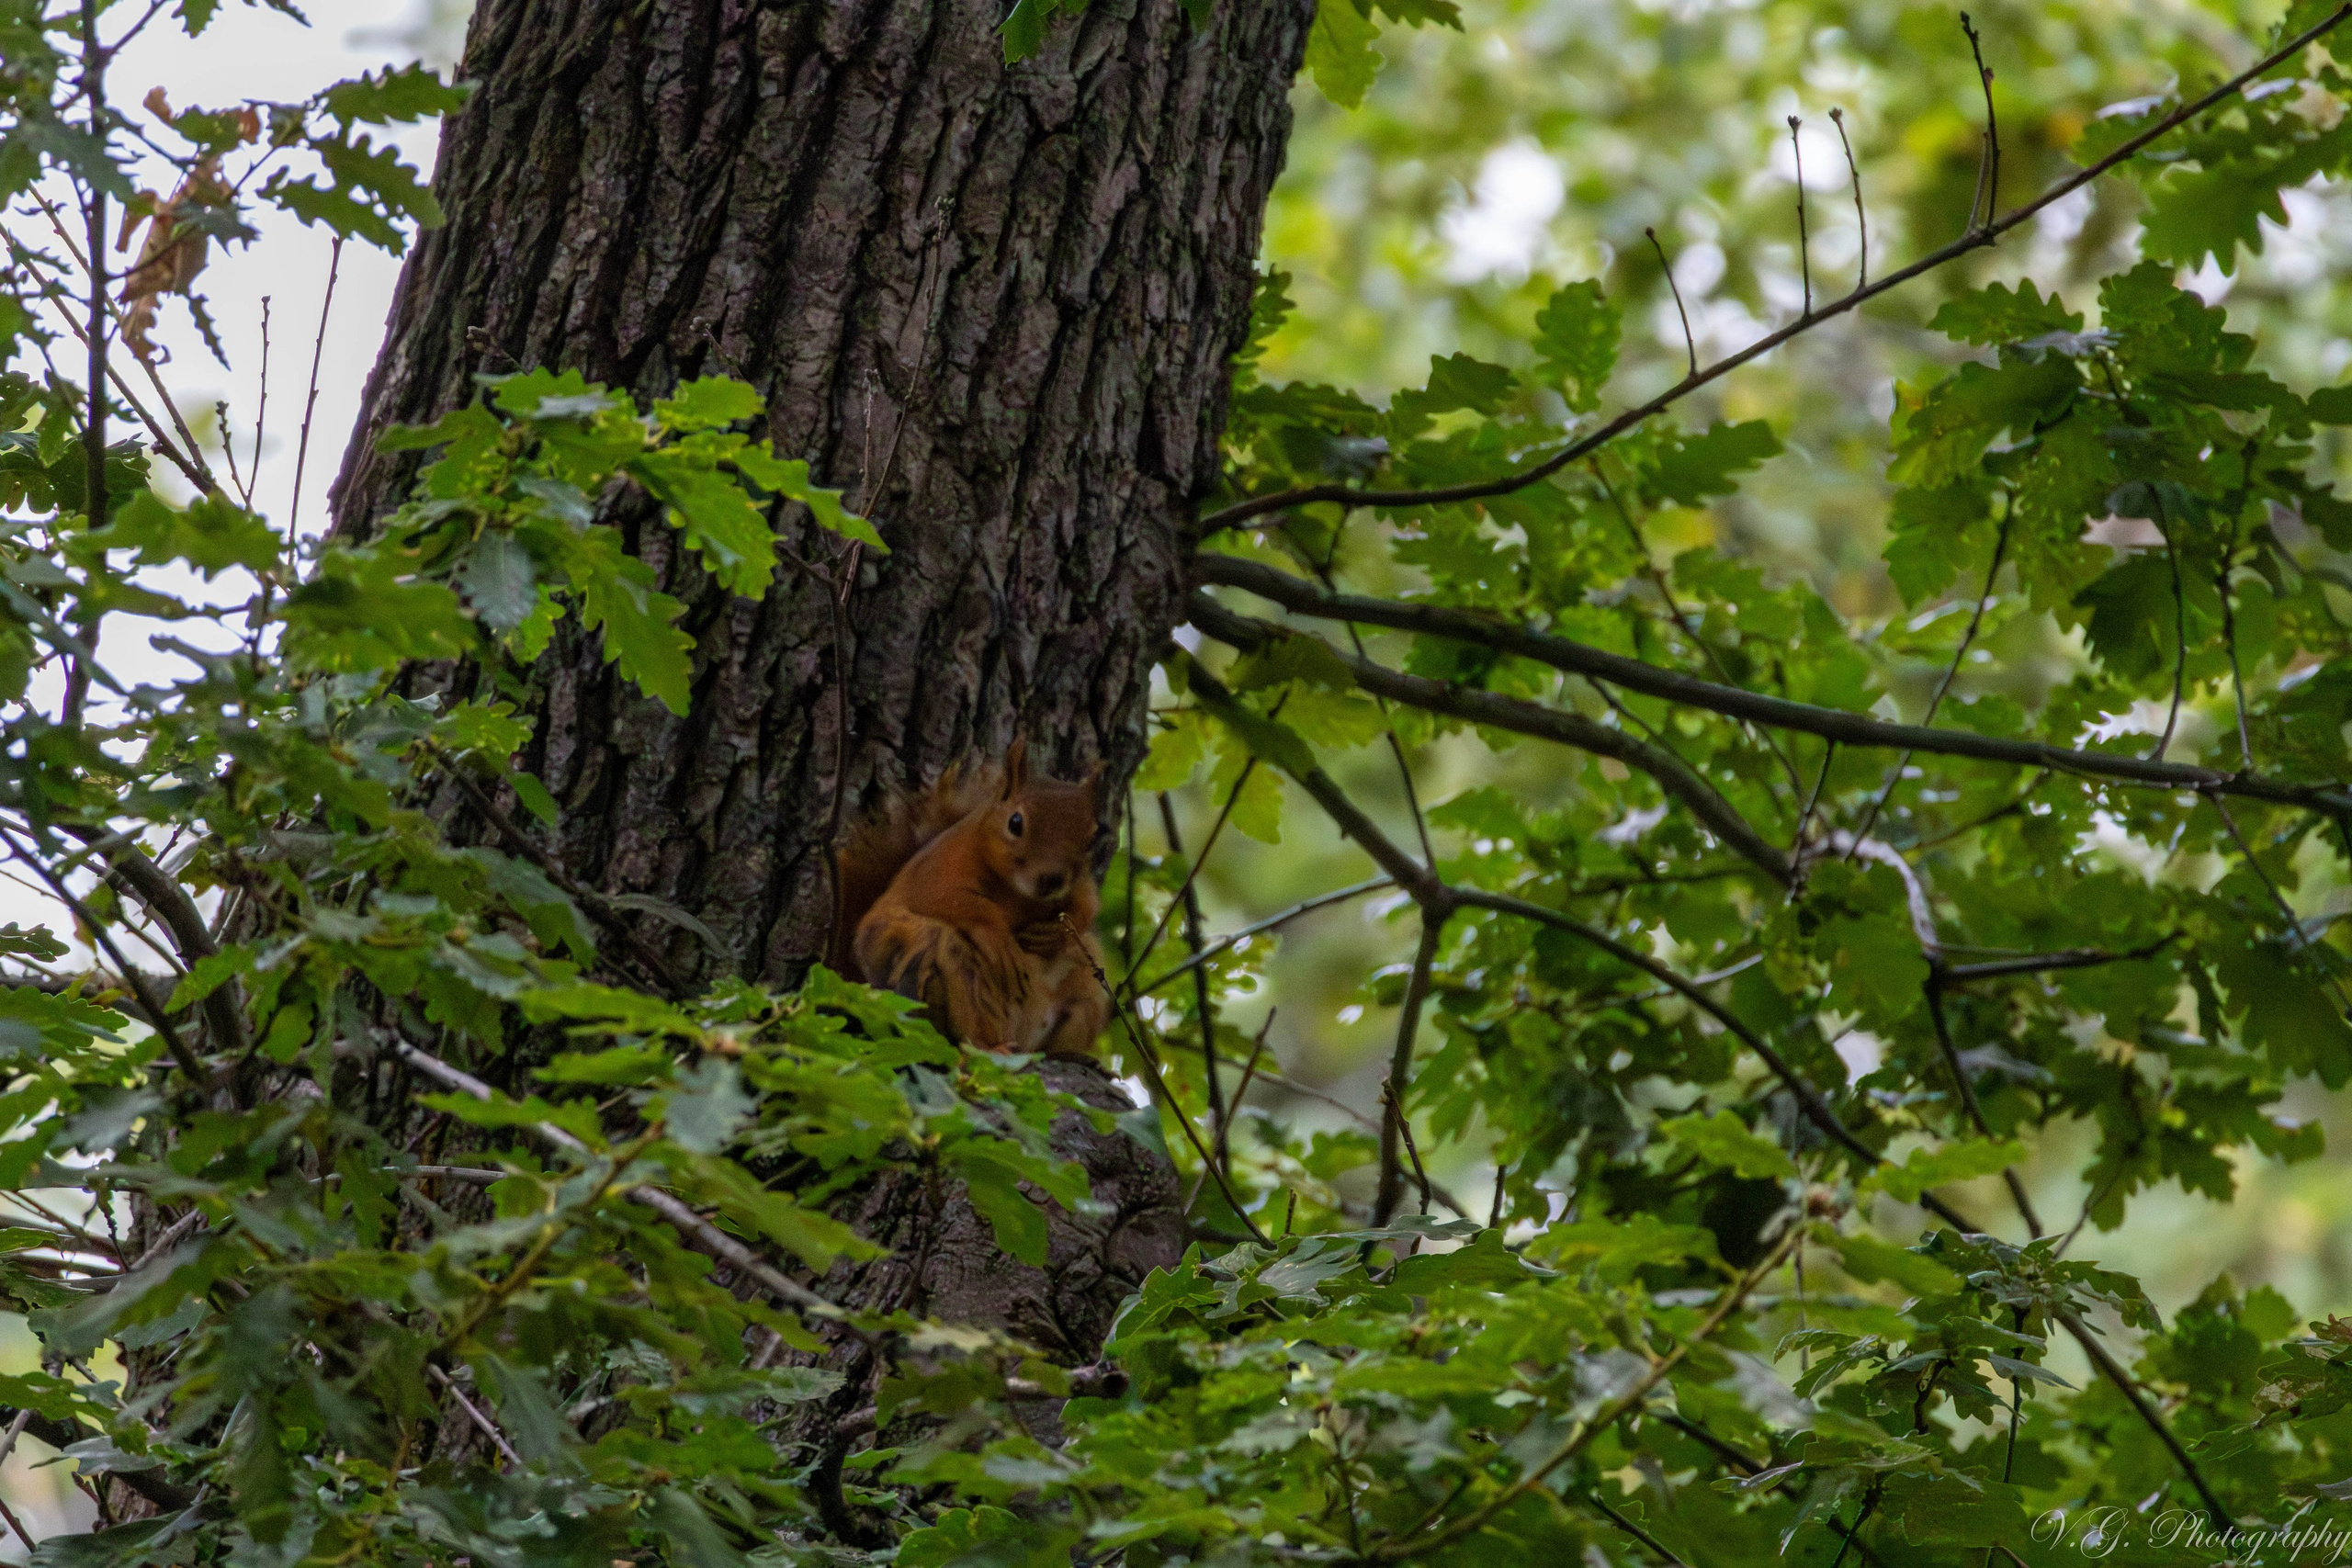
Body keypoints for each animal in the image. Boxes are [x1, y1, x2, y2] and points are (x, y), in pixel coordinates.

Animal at [831, 737, 1110, 1057]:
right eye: (1015, 822)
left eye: (1093, 838)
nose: (1050, 880)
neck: (1018, 892)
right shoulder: (936, 869)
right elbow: (953, 902)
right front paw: (999, 939)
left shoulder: (1080, 886)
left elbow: (1087, 908)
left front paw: (1053, 933)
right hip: (946, 970)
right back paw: (991, 1046)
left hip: (1086, 992)